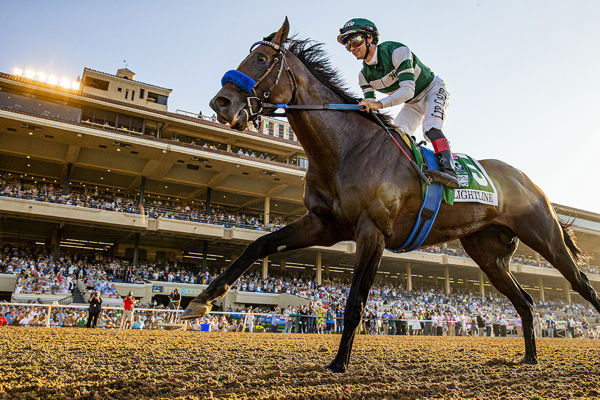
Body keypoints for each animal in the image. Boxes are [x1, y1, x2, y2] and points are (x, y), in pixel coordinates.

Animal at [182, 18, 600, 372]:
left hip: (543, 235)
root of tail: (527, 180)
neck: (346, 148)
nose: (222, 102)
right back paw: (530, 356)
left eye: (262, 59)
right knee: (526, 301)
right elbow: (258, 245)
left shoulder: (373, 232)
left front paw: (339, 363)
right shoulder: (322, 225)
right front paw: (201, 301)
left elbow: (355, 300)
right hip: (488, 254)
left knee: (580, 282)